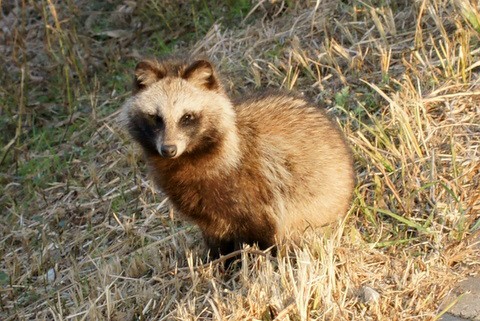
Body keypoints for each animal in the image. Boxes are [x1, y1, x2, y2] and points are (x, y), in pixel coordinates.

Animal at [122, 57, 354, 258]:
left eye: (187, 117)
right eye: (156, 118)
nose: (168, 149)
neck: (189, 156)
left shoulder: (252, 185)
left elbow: (262, 230)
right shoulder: (202, 207)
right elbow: (215, 237)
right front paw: (216, 261)